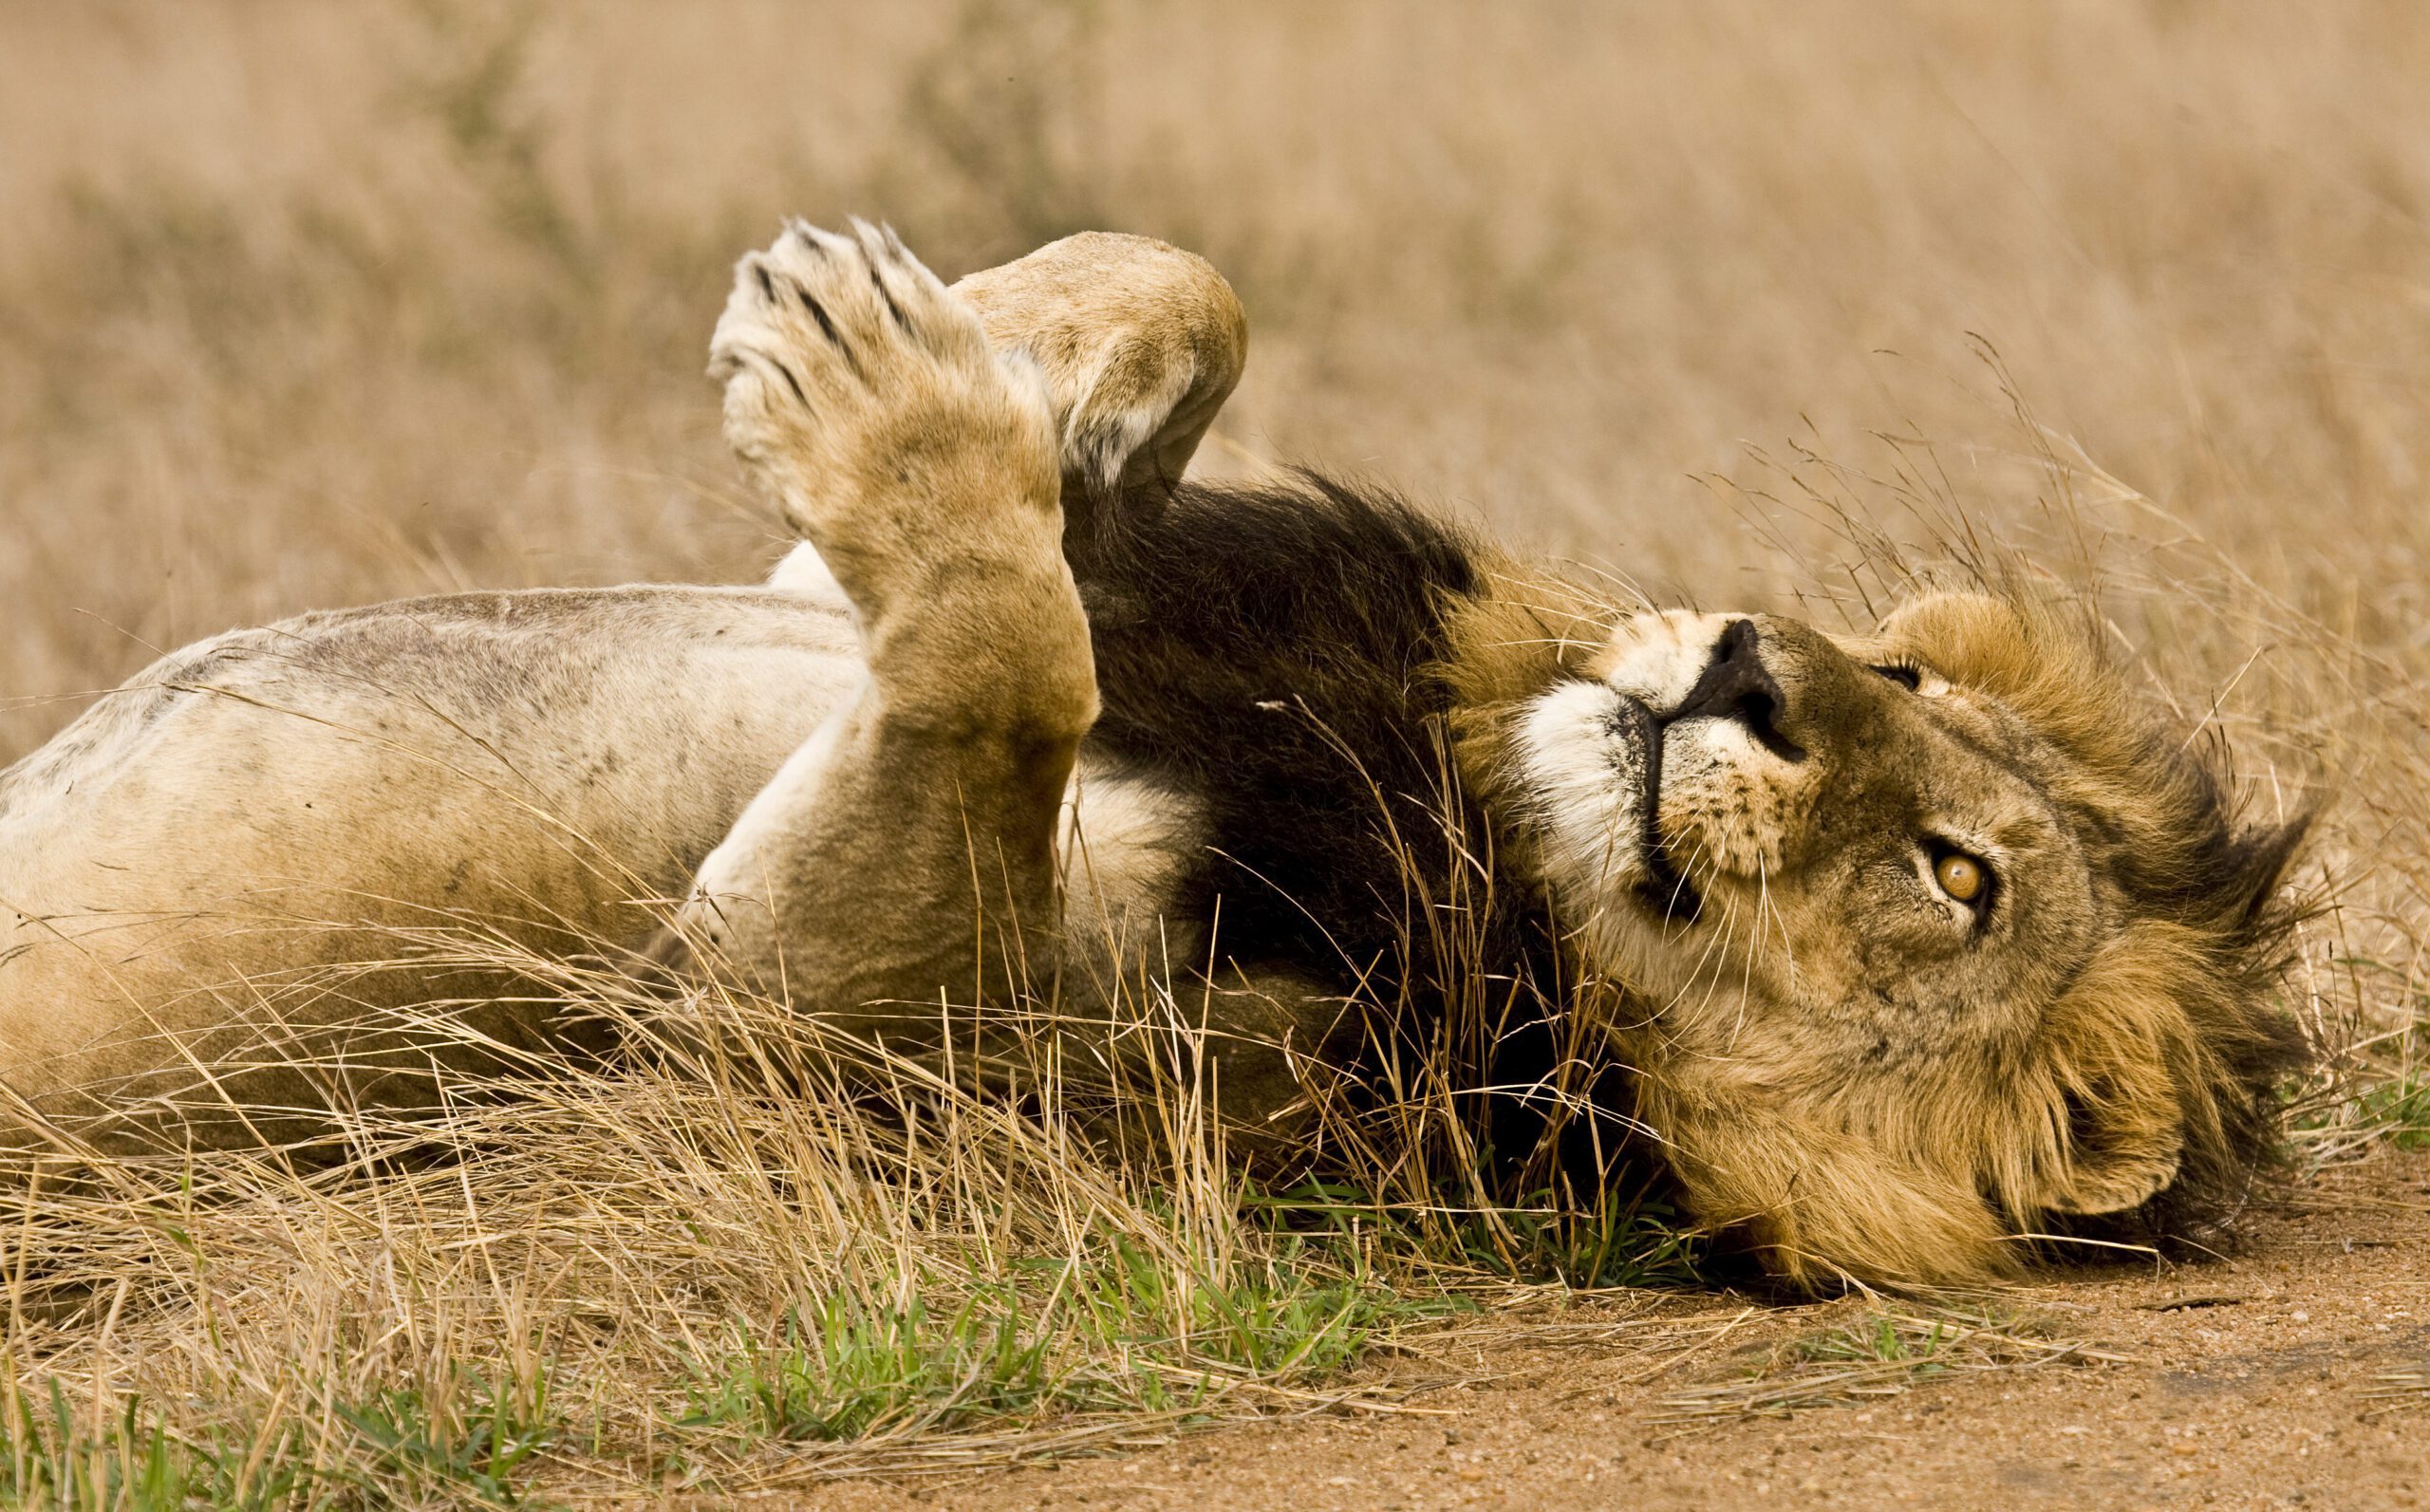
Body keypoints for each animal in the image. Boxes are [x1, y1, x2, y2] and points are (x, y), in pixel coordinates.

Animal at [0, 222, 2303, 1293]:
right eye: (1895, 670)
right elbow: (1186, 304)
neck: (1463, 793)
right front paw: (913, 334)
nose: (1743, 664)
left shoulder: (766, 1052)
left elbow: (1011, 657)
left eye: (1956, 877)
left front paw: (882, 379)